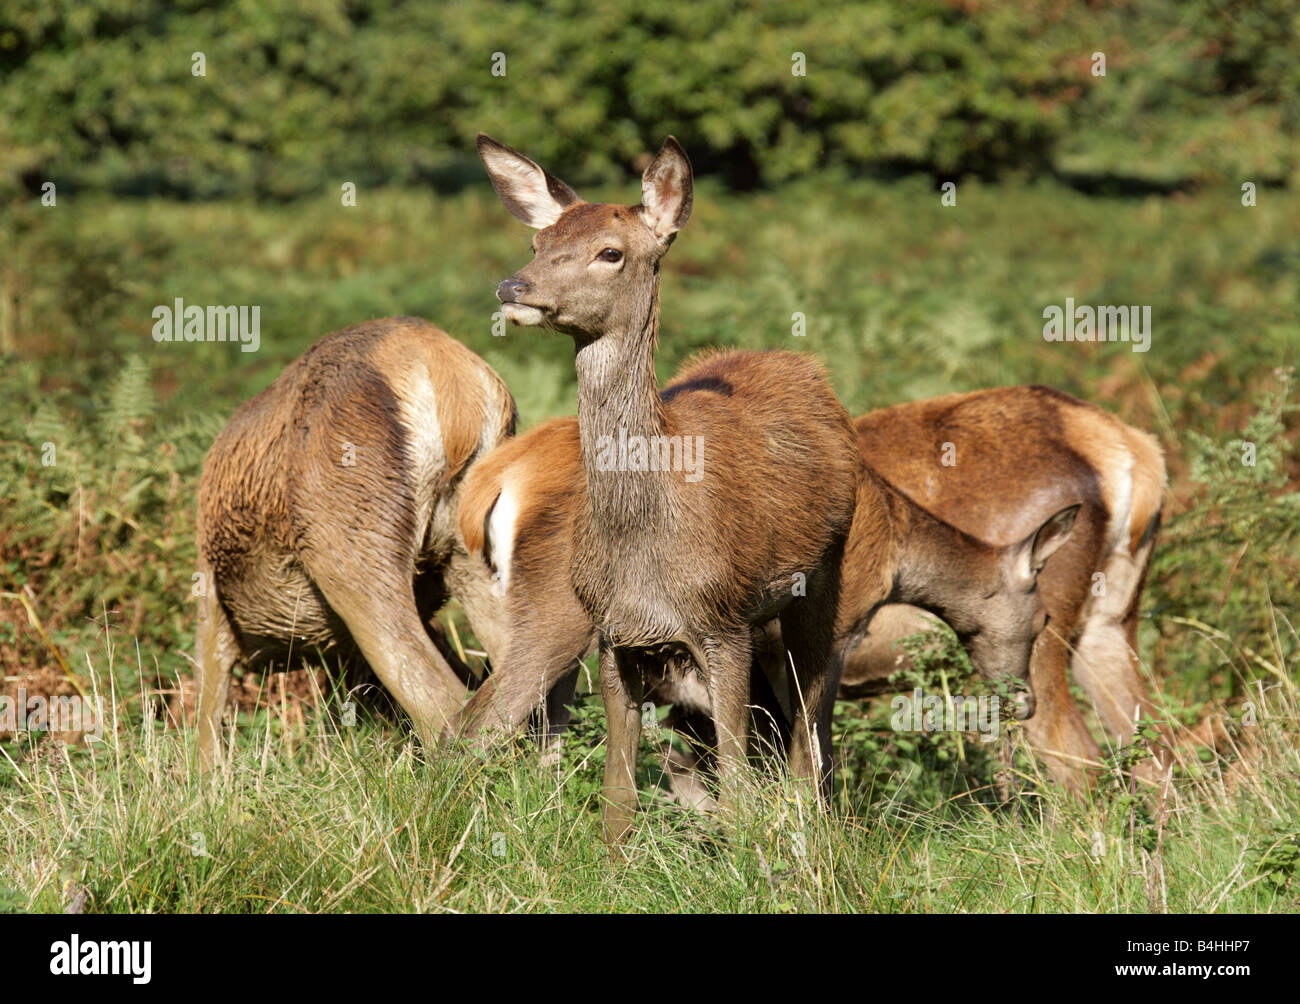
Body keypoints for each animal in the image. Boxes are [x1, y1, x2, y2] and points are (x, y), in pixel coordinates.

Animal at [194, 316, 516, 770]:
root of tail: (456, 389)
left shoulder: (211, 593)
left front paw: (204, 776)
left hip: (349, 536)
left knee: (442, 695)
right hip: (469, 550)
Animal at [476, 133, 863, 844]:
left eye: (611, 252)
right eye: (538, 242)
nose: (514, 286)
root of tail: (800, 364)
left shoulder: (722, 621)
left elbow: (738, 785)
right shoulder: (614, 634)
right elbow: (618, 796)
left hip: (825, 572)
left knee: (810, 715)